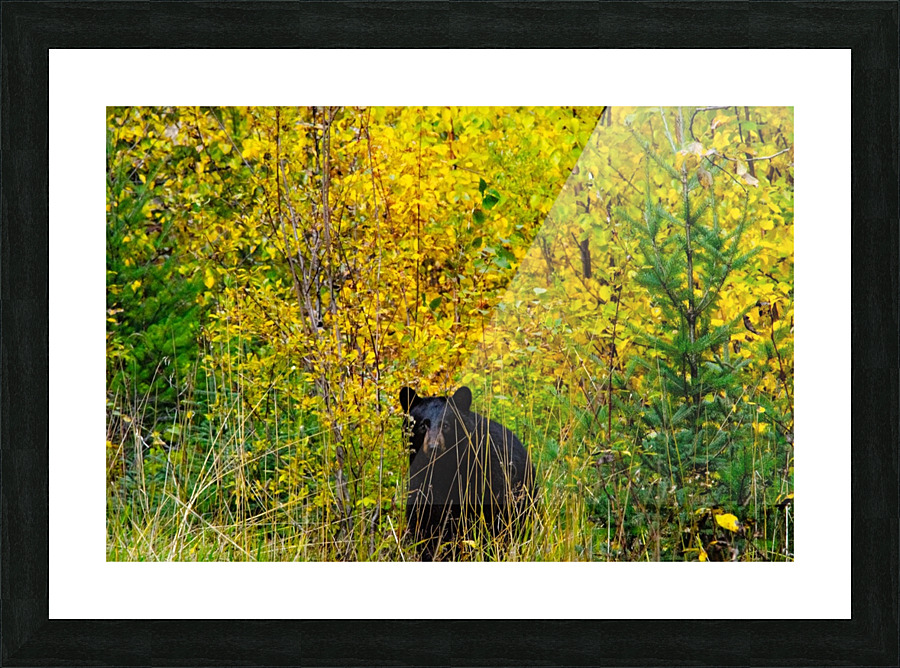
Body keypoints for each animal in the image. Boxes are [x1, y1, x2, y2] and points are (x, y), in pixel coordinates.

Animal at [399, 386, 535, 561]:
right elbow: (424, 520)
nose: (433, 448)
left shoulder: (485, 479)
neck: (445, 469)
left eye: (446, 425)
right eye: (423, 425)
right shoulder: (422, 480)